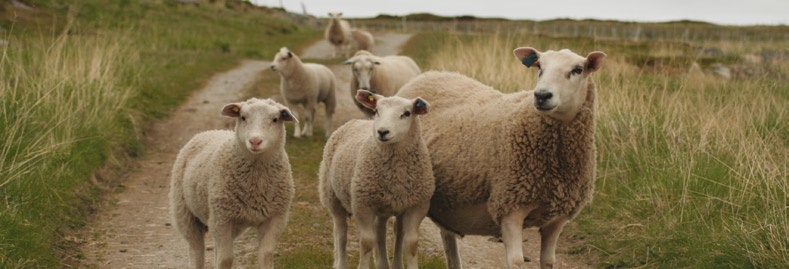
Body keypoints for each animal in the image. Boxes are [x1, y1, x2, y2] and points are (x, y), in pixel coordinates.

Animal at [169, 97, 298, 268]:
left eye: (275, 119)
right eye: (243, 117)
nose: (255, 141)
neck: (256, 184)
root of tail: (209, 131)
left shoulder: (276, 218)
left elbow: (266, 255)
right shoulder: (222, 219)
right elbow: (226, 259)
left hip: (225, 223)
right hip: (186, 213)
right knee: (196, 251)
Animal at [318, 90, 434, 268]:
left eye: (407, 113)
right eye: (377, 111)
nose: (382, 132)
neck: (396, 172)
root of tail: (355, 121)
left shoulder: (417, 205)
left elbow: (411, 243)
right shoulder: (363, 205)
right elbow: (367, 242)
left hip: (385, 204)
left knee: (384, 231)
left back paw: (385, 264)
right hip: (332, 195)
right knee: (340, 232)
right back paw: (341, 263)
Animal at [398, 47, 608, 266]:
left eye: (578, 69)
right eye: (539, 67)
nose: (542, 95)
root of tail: (428, 74)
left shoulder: (557, 219)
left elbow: (549, 261)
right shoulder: (509, 206)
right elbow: (516, 261)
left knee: (447, 236)